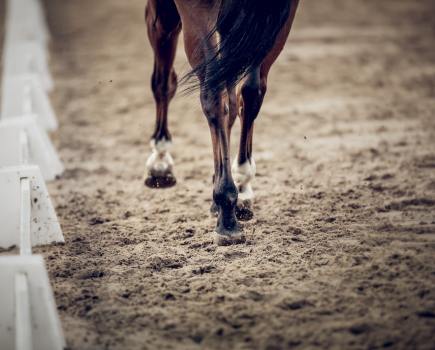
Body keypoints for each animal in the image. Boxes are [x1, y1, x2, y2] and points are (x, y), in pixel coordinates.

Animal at [143, 0, 300, 245]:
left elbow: (162, 82)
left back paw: (226, 215)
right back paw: (240, 188)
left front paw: (160, 160)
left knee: (213, 92)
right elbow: (235, 102)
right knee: (249, 91)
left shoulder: (159, 11)